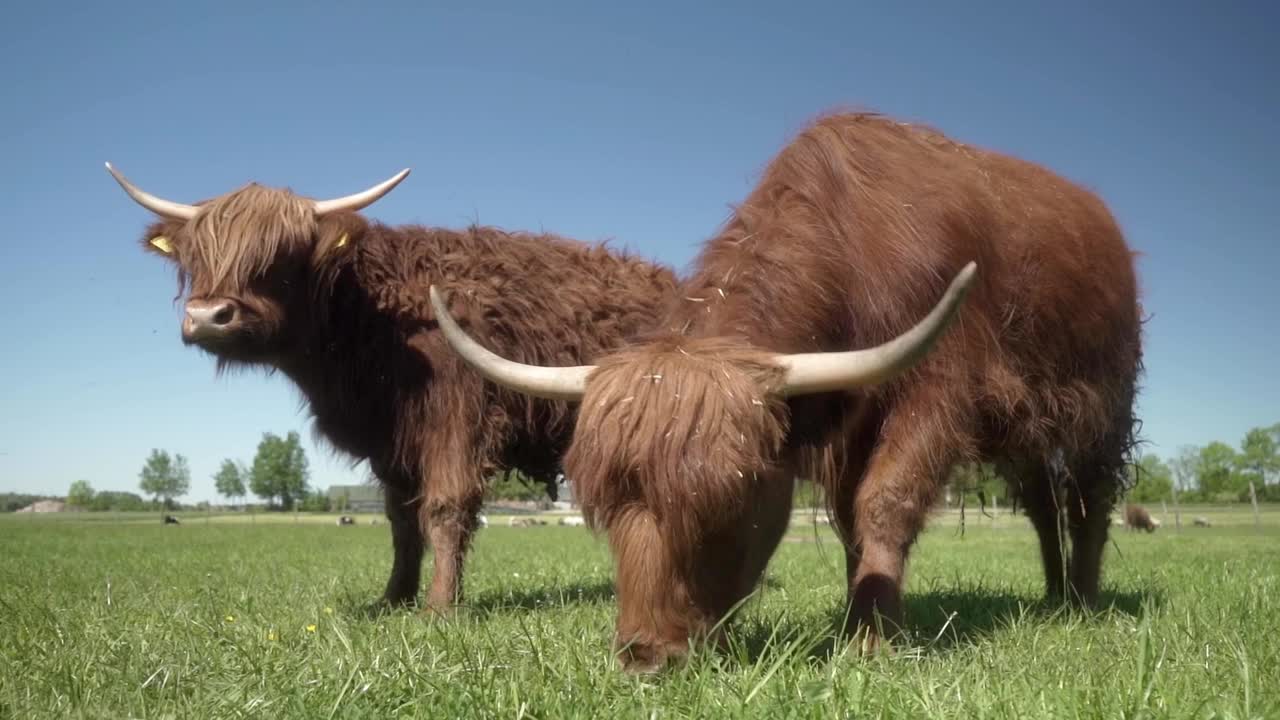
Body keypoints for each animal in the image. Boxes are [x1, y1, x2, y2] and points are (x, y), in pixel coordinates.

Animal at [104, 163, 680, 609]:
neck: (372, 317)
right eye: (196, 256)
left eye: (282, 256)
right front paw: (394, 598)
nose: (208, 316)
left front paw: (440, 607)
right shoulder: (391, 442)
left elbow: (445, 508)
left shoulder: (458, 420)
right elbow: (402, 522)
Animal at [427, 110, 1141, 666]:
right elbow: (852, 521)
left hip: (1104, 405)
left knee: (1090, 500)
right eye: (602, 505)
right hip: (1026, 430)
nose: (645, 655)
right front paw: (860, 616)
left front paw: (873, 639)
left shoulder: (938, 393)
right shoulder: (847, 420)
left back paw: (1083, 601)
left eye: (725, 500)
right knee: (1045, 505)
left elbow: (886, 503)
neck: (862, 240)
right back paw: (1053, 595)